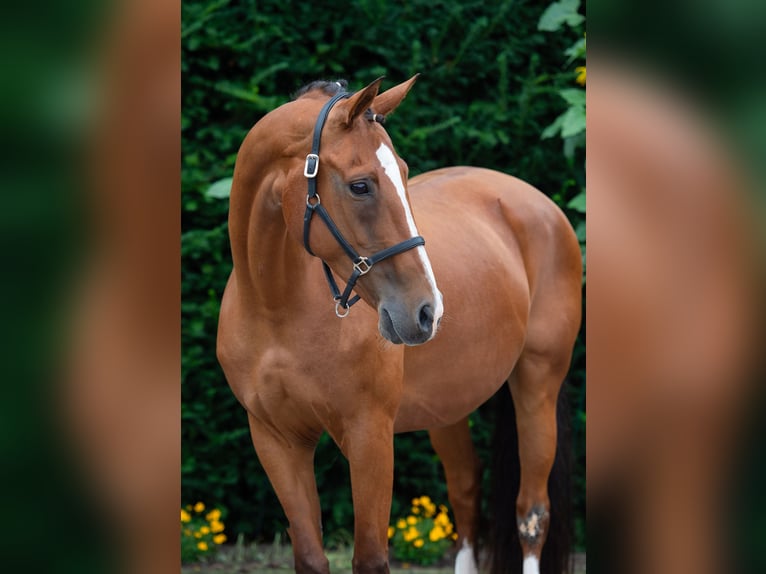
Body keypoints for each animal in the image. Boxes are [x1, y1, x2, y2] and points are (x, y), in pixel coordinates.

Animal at [216, 77, 584, 574]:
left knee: (531, 513)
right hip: (449, 405)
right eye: (360, 185)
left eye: (405, 174)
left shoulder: (370, 436)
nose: (428, 311)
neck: (275, 310)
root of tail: (539, 204)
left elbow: (371, 557)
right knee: (465, 496)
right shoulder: (276, 440)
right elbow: (310, 557)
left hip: (538, 383)